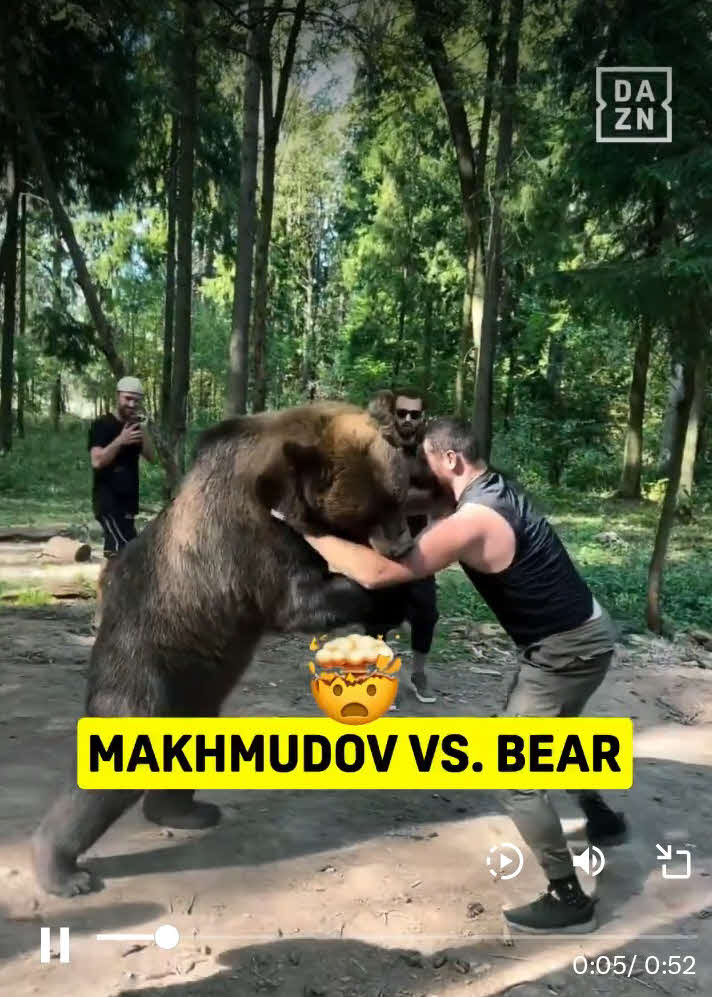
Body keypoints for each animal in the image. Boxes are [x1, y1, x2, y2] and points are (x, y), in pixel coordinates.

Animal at [31, 401, 412, 897]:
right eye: (371, 508)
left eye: (398, 495)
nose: (402, 544)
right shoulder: (249, 533)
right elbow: (296, 600)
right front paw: (388, 593)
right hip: (144, 661)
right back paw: (62, 870)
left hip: (196, 682)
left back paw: (186, 811)